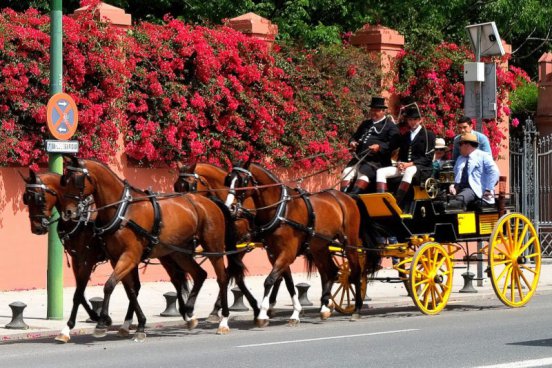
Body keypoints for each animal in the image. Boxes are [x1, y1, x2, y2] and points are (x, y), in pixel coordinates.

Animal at [21, 171, 190, 344]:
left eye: (38, 198)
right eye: (26, 199)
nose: (37, 228)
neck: (81, 218)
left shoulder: (88, 260)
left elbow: (79, 293)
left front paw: (69, 328)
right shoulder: (77, 260)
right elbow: (80, 293)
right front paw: (97, 317)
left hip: (164, 254)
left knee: (176, 280)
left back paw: (186, 314)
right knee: (136, 287)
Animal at [58, 157, 244, 340]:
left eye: (77, 180)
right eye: (64, 180)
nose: (68, 212)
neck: (123, 211)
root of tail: (211, 202)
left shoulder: (129, 256)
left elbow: (109, 285)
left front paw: (101, 323)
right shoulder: (115, 258)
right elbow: (129, 290)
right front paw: (137, 324)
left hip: (214, 248)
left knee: (222, 278)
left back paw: (223, 320)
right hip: (178, 253)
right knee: (199, 274)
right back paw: (189, 312)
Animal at [224, 161, 380, 324]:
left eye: (242, 181)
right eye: (228, 180)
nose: (230, 207)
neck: (281, 210)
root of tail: (347, 196)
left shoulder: (288, 252)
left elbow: (270, 280)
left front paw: (262, 313)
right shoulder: (274, 253)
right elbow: (287, 282)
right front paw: (295, 312)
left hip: (349, 242)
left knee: (355, 272)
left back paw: (356, 308)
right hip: (319, 247)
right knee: (331, 271)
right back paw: (324, 306)